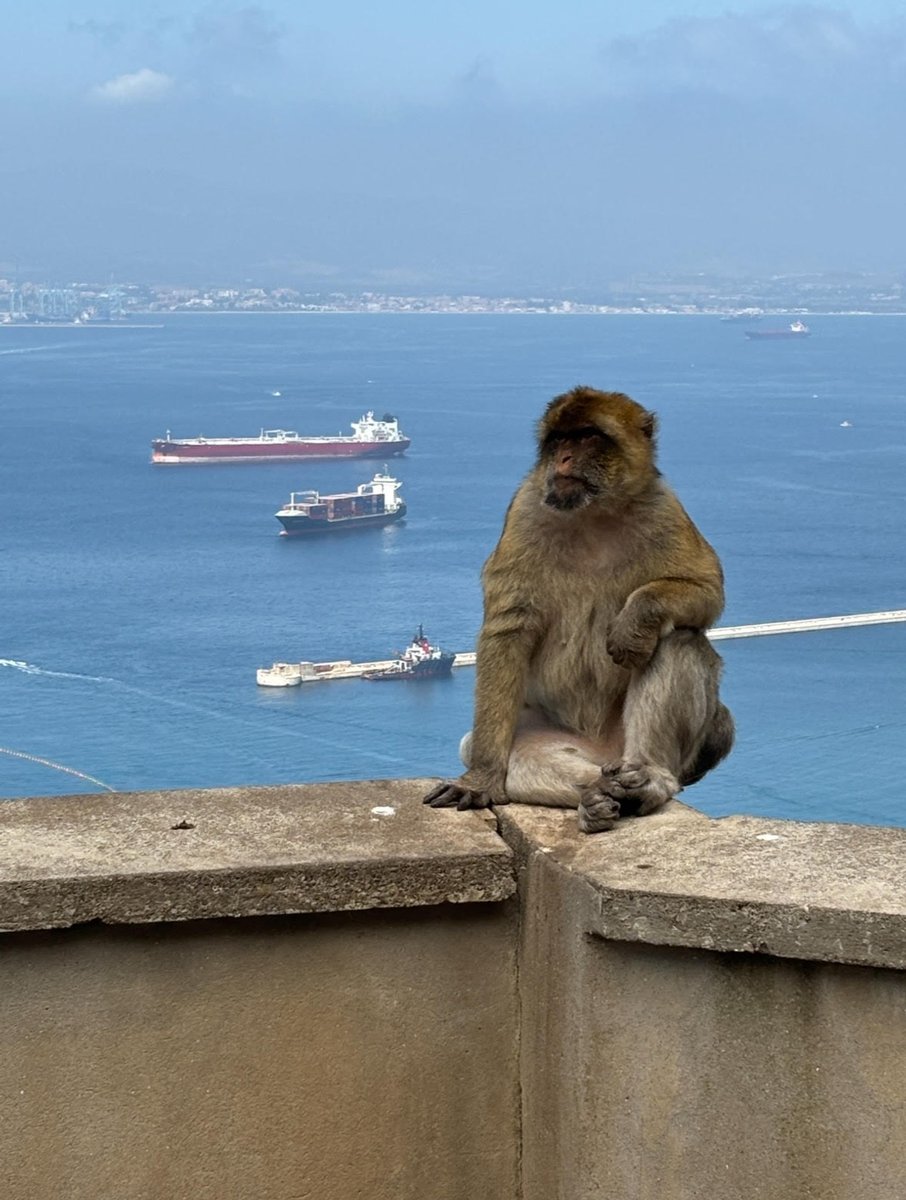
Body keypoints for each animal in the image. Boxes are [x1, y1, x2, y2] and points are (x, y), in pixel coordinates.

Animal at [427, 386, 739, 835]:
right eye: (559, 439)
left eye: (588, 436)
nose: (563, 459)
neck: (594, 513)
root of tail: (604, 752)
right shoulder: (525, 511)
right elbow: (508, 630)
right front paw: (481, 778)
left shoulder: (664, 507)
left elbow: (705, 590)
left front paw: (634, 622)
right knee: (500, 749)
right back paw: (596, 796)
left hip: (645, 749)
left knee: (679, 642)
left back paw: (649, 781)